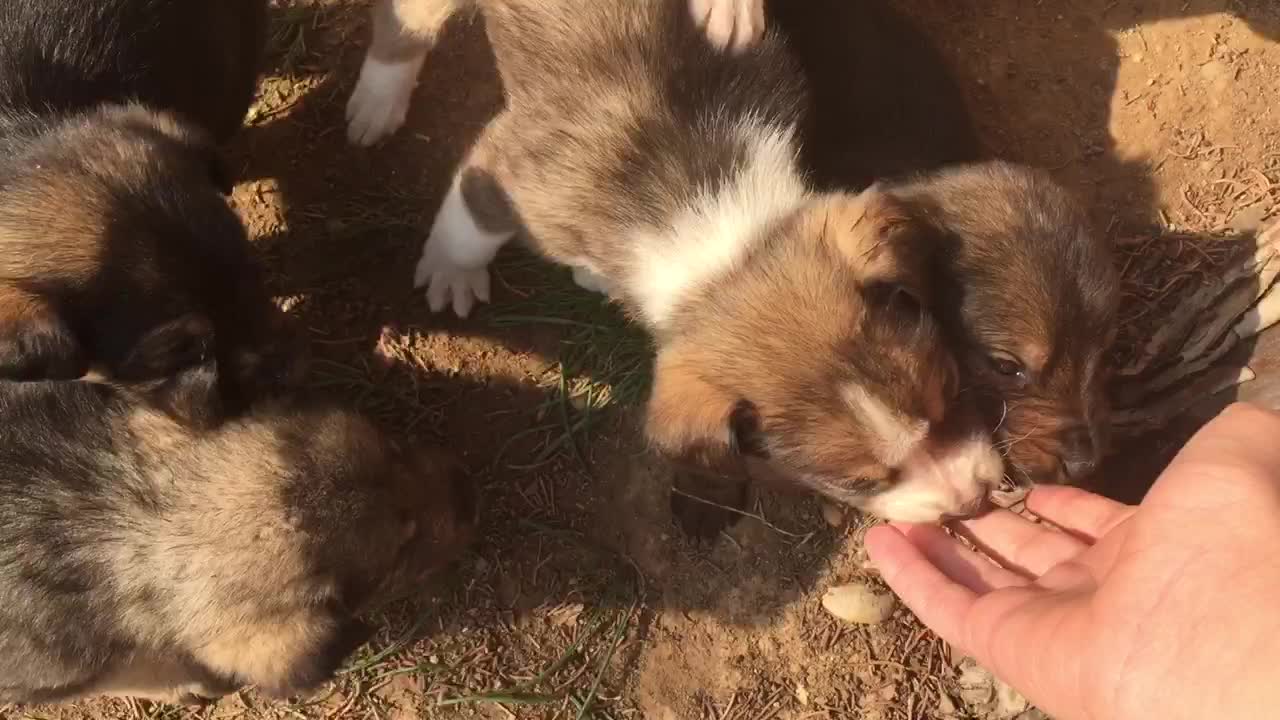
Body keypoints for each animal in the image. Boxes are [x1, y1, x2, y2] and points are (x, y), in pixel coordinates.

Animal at [353, 0, 1008, 520]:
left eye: (952, 393)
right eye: (861, 480)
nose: (972, 502)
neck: (718, 228)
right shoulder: (510, 174)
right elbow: (469, 223)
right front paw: (450, 274)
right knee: (405, 19)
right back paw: (376, 102)